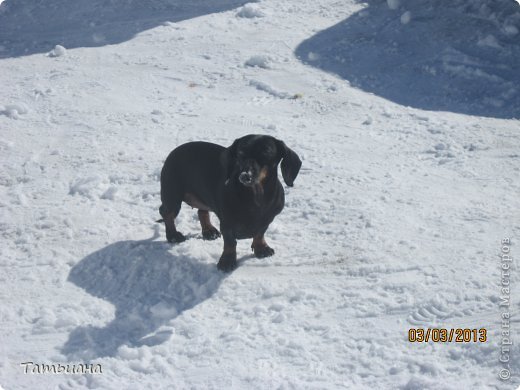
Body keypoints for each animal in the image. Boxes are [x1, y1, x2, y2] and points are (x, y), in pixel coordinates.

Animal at [160, 134, 302, 272]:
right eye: (240, 153)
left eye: (266, 152)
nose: (245, 176)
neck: (256, 196)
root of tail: (174, 151)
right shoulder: (226, 223)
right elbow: (230, 242)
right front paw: (227, 261)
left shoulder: (267, 220)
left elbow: (260, 233)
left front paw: (261, 248)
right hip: (172, 197)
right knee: (166, 213)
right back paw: (173, 235)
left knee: (201, 211)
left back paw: (209, 231)